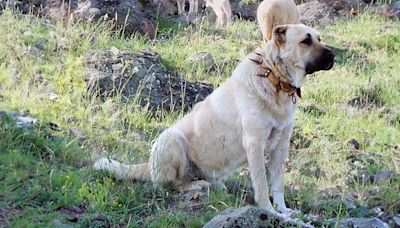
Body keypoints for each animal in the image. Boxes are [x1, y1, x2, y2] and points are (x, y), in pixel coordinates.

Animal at [94, 23, 334, 214]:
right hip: (171, 138)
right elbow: (263, 185)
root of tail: (148, 165)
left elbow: (278, 184)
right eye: (306, 40)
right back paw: (196, 186)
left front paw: (284, 211)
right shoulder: (255, 143)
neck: (274, 79)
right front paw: (269, 211)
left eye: (319, 38)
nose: (333, 56)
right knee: (170, 185)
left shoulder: (281, 146)